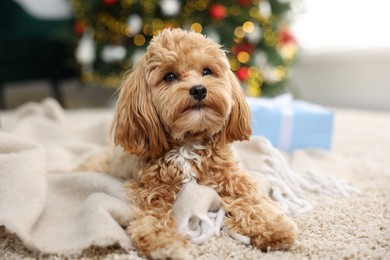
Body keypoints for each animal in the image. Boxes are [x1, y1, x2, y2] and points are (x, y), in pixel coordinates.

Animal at [101, 27, 296, 258]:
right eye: (170, 76)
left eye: (206, 71)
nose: (199, 90)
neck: (189, 142)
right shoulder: (153, 192)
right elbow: (153, 218)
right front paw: (165, 244)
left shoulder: (233, 180)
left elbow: (253, 201)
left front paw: (273, 227)